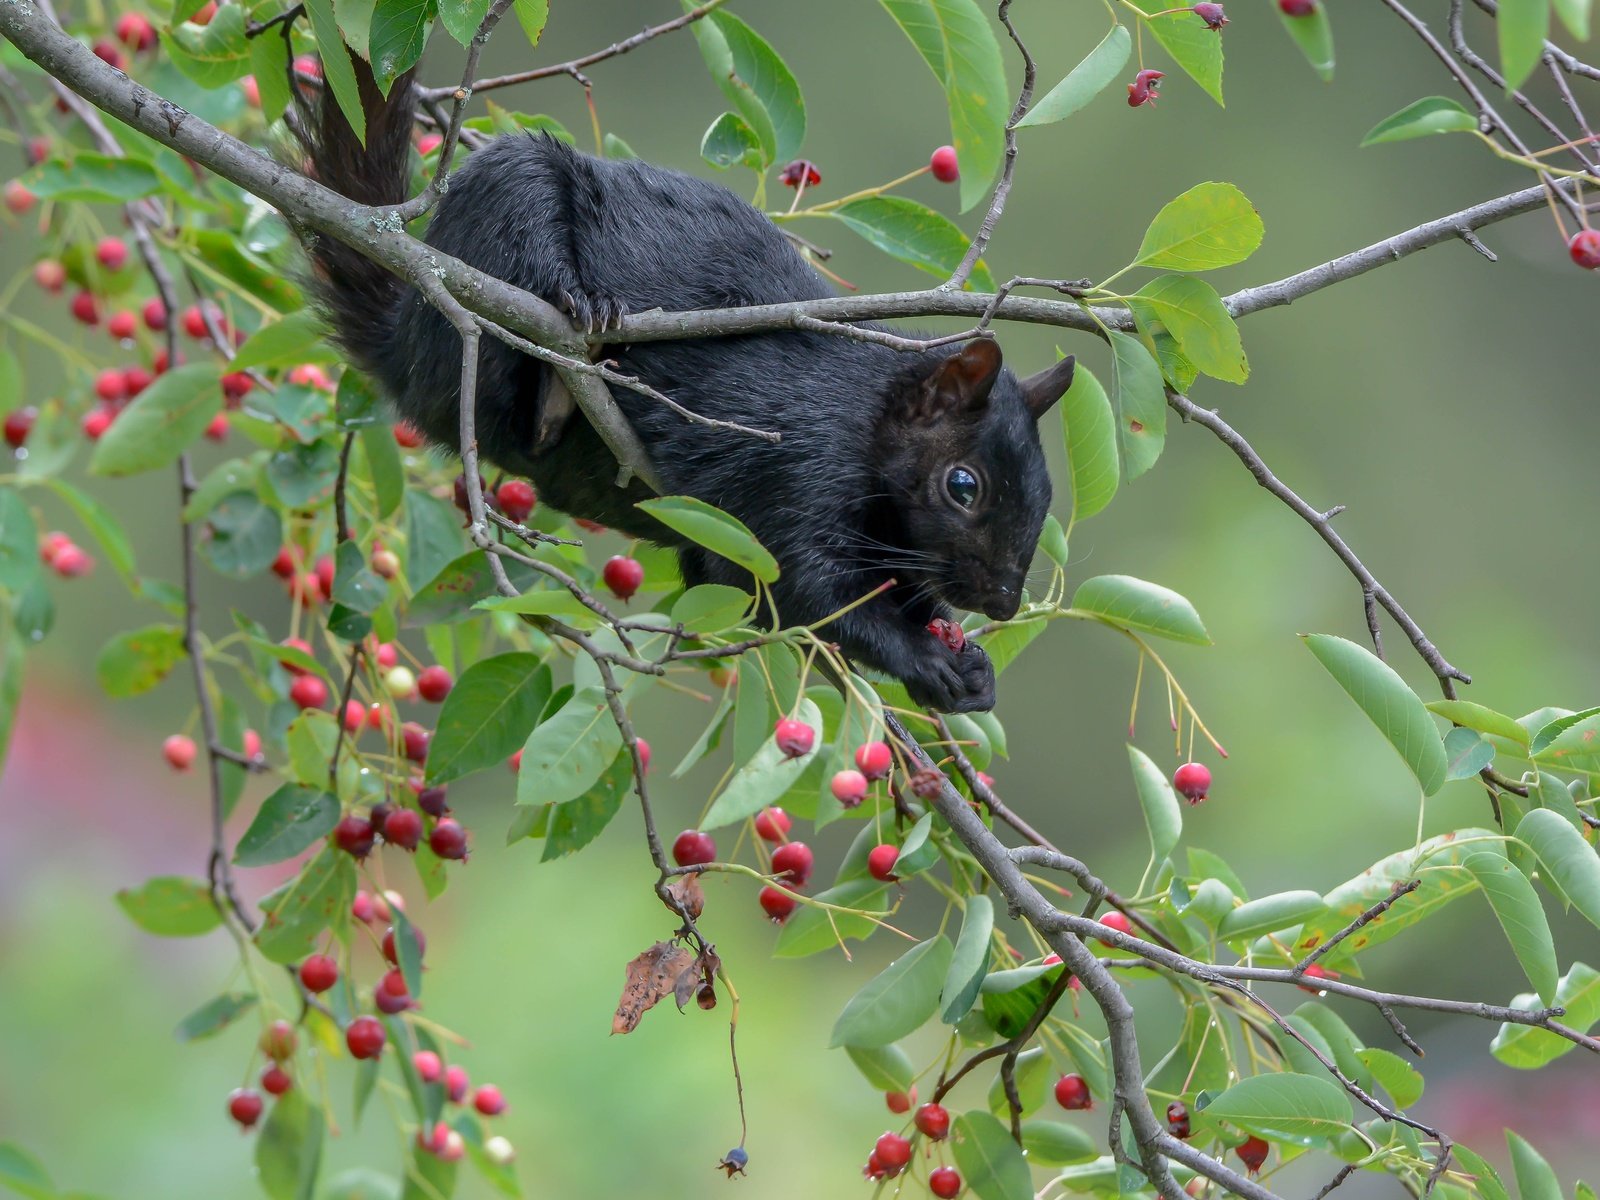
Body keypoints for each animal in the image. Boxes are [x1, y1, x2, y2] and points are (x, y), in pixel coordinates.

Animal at [307, 65, 1075, 713]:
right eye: (962, 486)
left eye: (1044, 495)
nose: (1003, 604)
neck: (865, 417)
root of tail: (402, 342)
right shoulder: (795, 462)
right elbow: (802, 587)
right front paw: (926, 659)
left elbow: (749, 587)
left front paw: (968, 664)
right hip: (502, 218)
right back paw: (574, 337)